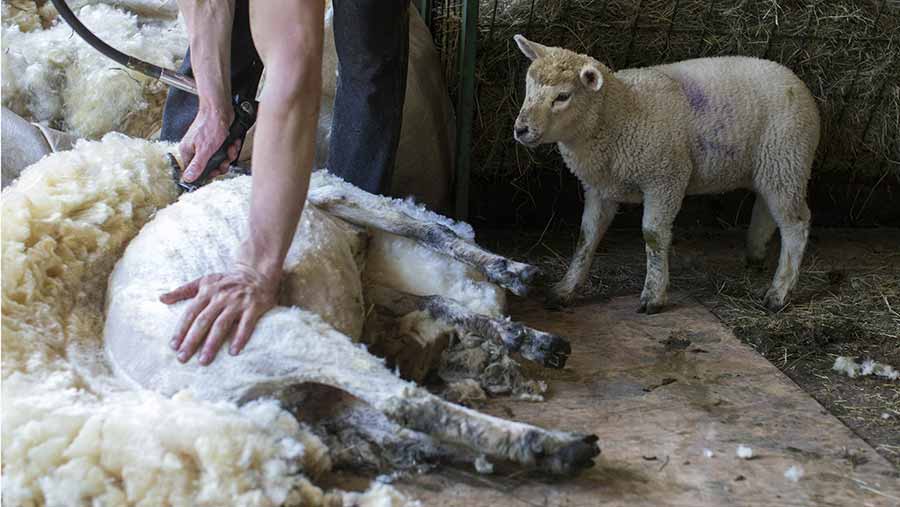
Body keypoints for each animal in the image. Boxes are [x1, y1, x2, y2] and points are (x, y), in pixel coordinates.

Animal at [512, 35, 820, 313]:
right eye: (528, 87)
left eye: (563, 96)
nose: (520, 129)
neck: (620, 112)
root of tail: (796, 81)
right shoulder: (600, 188)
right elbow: (585, 238)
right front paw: (565, 289)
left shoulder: (665, 178)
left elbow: (653, 235)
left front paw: (653, 295)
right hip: (770, 168)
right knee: (768, 210)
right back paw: (755, 254)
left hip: (786, 159)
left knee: (795, 224)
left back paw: (779, 292)